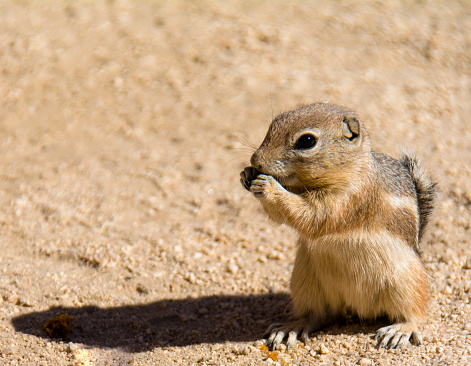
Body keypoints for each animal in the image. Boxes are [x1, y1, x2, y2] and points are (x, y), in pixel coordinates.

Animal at [240, 102, 438, 348]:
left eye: (307, 141)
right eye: (273, 124)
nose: (255, 160)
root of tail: (358, 307)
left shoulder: (350, 198)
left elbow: (314, 216)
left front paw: (270, 187)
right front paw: (247, 174)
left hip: (406, 282)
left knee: (416, 311)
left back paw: (401, 330)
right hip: (305, 282)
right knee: (317, 314)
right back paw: (291, 327)